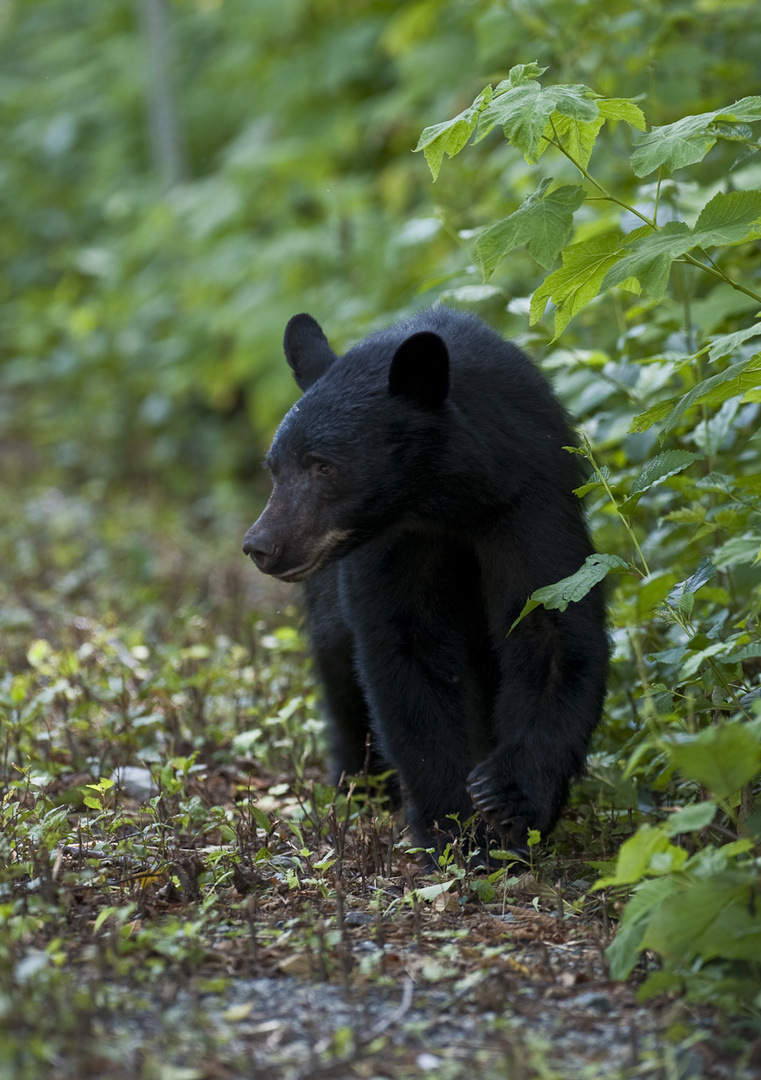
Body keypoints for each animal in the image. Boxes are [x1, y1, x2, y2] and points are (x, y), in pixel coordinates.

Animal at [246, 306, 608, 859]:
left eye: (323, 466)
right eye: (274, 468)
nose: (261, 545)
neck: (445, 503)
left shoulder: (529, 498)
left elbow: (552, 626)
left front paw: (510, 800)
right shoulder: (395, 544)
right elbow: (408, 653)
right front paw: (452, 828)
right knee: (338, 669)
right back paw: (360, 782)